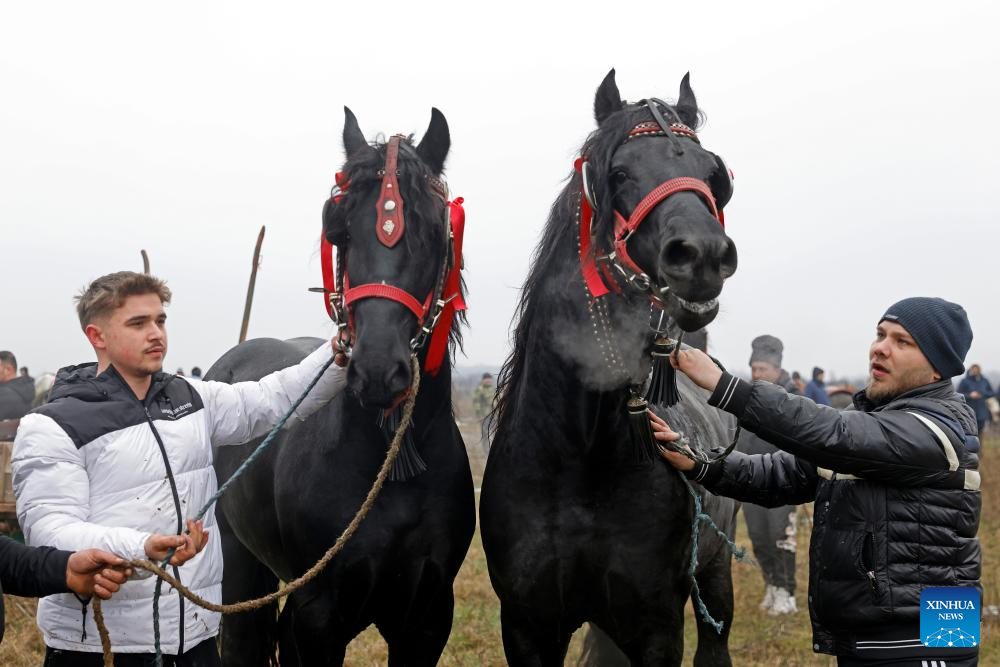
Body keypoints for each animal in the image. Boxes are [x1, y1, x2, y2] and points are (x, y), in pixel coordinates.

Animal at [207, 107, 475, 666]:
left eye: (433, 231)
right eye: (341, 231)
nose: (377, 371)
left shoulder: (427, 619)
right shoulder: (319, 617)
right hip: (239, 566)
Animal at [479, 70, 741, 666]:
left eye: (714, 176)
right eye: (619, 173)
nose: (702, 255)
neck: (581, 453)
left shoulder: (655, 626)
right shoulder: (528, 625)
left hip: (714, 578)